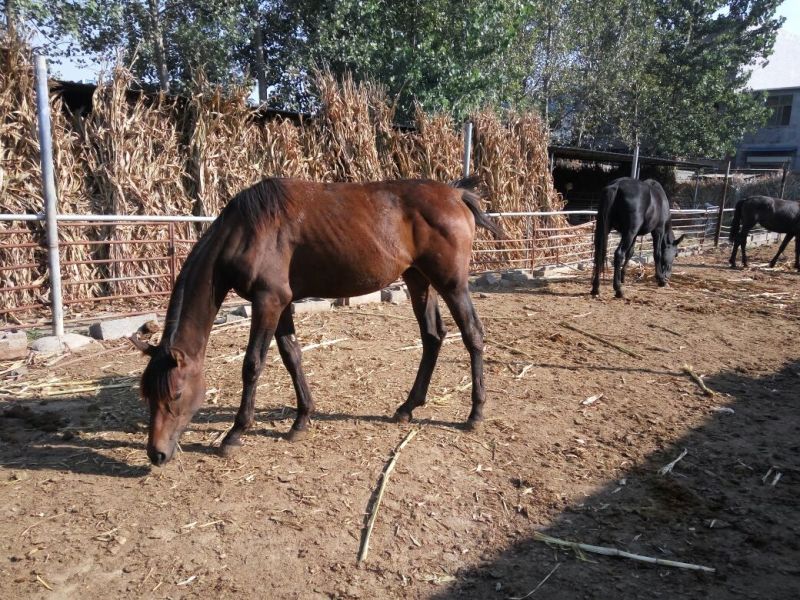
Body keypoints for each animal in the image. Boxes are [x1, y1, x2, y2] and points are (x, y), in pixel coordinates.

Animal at [130, 177, 503, 466]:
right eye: (147, 395)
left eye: (176, 394)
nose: (156, 454)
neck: (246, 231)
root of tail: (456, 194)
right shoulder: (280, 304)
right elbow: (292, 356)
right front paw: (301, 419)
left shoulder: (268, 302)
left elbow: (253, 364)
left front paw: (235, 433)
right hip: (418, 279)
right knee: (432, 337)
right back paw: (407, 407)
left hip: (451, 283)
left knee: (472, 335)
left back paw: (475, 414)